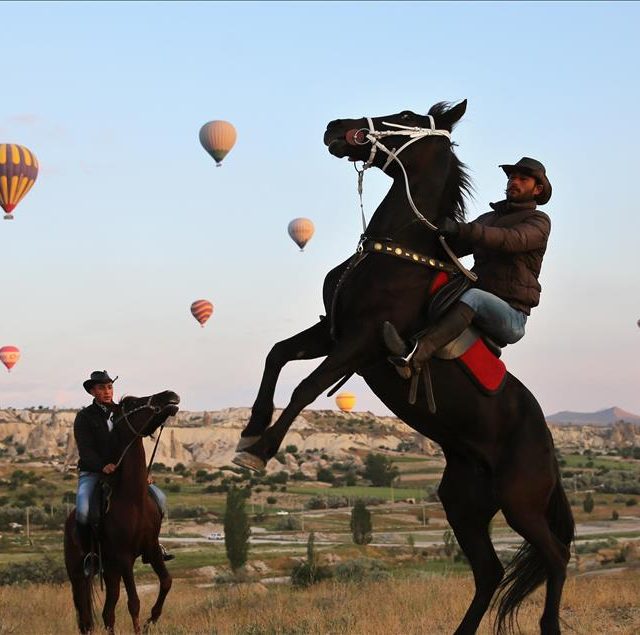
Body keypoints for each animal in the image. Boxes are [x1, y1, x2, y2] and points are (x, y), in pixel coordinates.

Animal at [64, 390, 179, 632]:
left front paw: (150, 621)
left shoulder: (151, 548)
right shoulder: (124, 557)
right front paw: (141, 627)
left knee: (108, 612)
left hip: (110, 570)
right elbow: (134, 602)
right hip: (79, 575)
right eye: (133, 403)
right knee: (85, 617)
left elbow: (166, 582)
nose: (170, 394)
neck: (133, 500)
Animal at [235, 102, 576, 632]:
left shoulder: (360, 342)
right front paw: (249, 432)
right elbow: (276, 355)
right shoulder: (330, 331)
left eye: (406, 115)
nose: (336, 128)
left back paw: (549, 625)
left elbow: (305, 388)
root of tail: (549, 449)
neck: (396, 252)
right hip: (464, 502)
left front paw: (260, 451)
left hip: (521, 503)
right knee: (490, 572)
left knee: (555, 557)